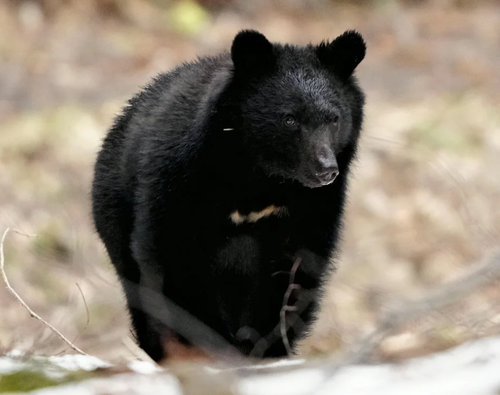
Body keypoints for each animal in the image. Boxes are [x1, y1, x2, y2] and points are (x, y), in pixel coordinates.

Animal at [92, 29, 366, 364]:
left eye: (334, 119)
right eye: (289, 119)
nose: (326, 169)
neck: (260, 176)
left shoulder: (313, 205)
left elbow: (296, 270)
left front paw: (263, 348)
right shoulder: (178, 179)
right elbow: (173, 257)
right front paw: (206, 346)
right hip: (114, 215)